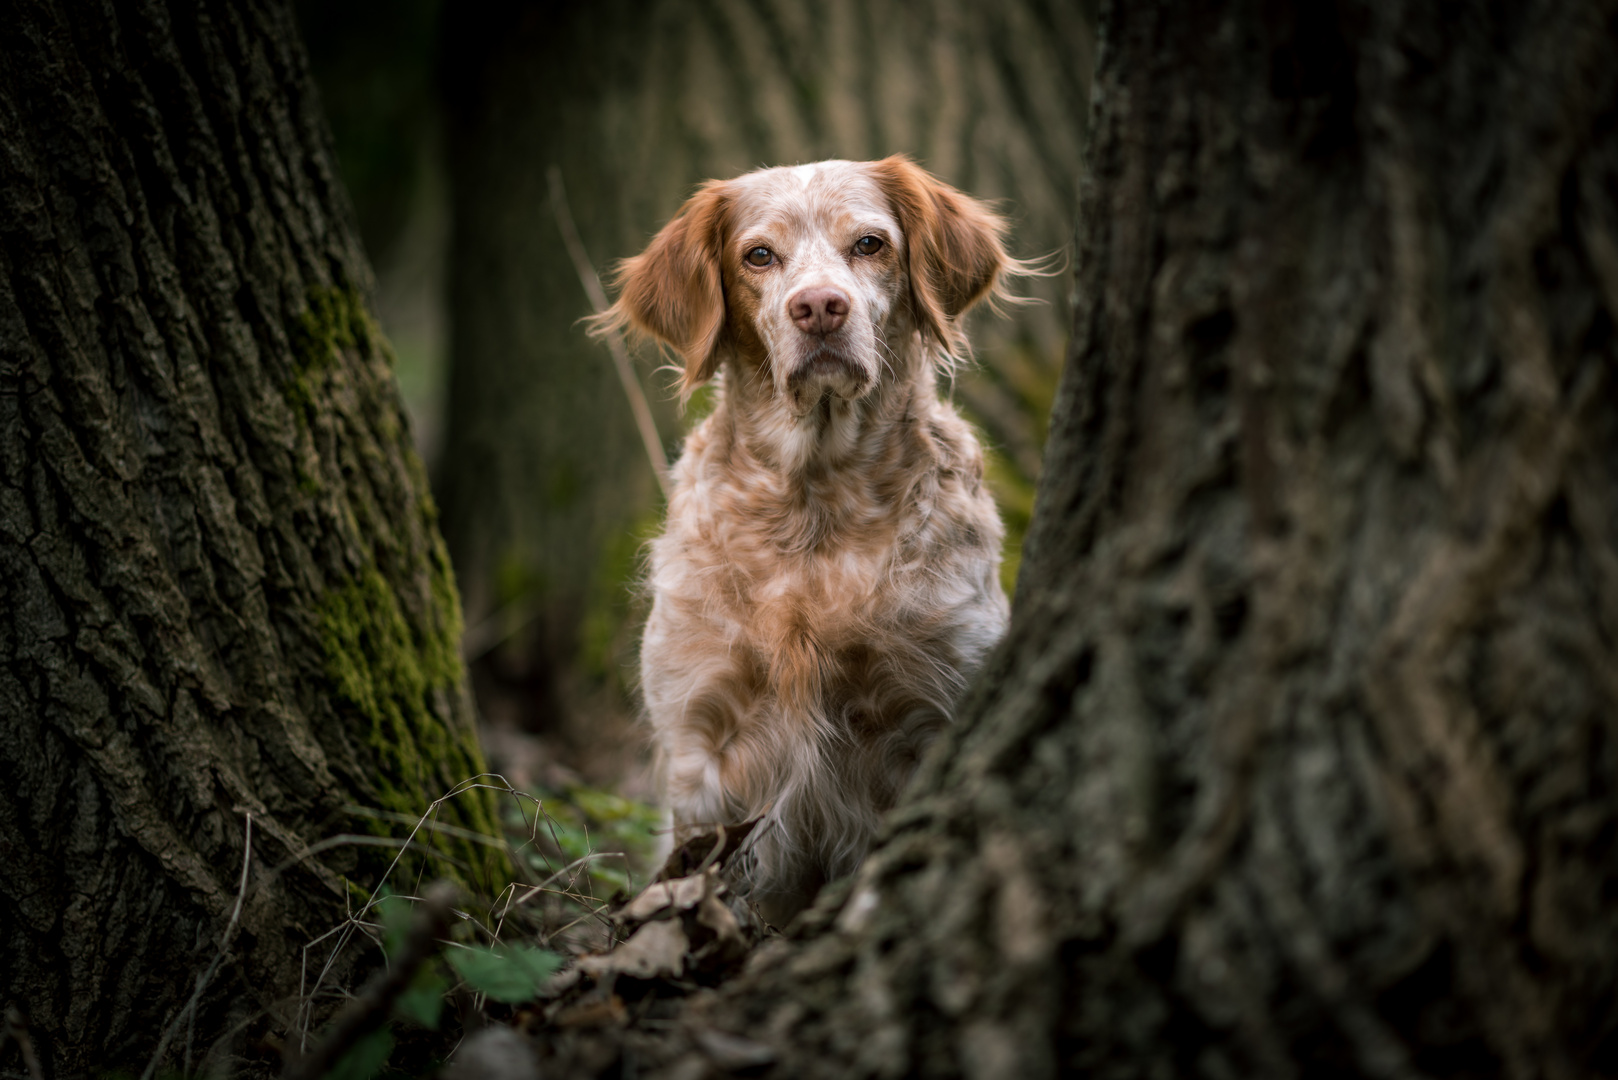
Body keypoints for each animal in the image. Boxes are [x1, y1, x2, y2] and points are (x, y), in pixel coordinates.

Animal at [595, 160, 1022, 932]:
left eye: (870, 244)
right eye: (759, 256)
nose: (820, 306)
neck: (813, 509)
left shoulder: (935, 709)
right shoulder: (701, 736)